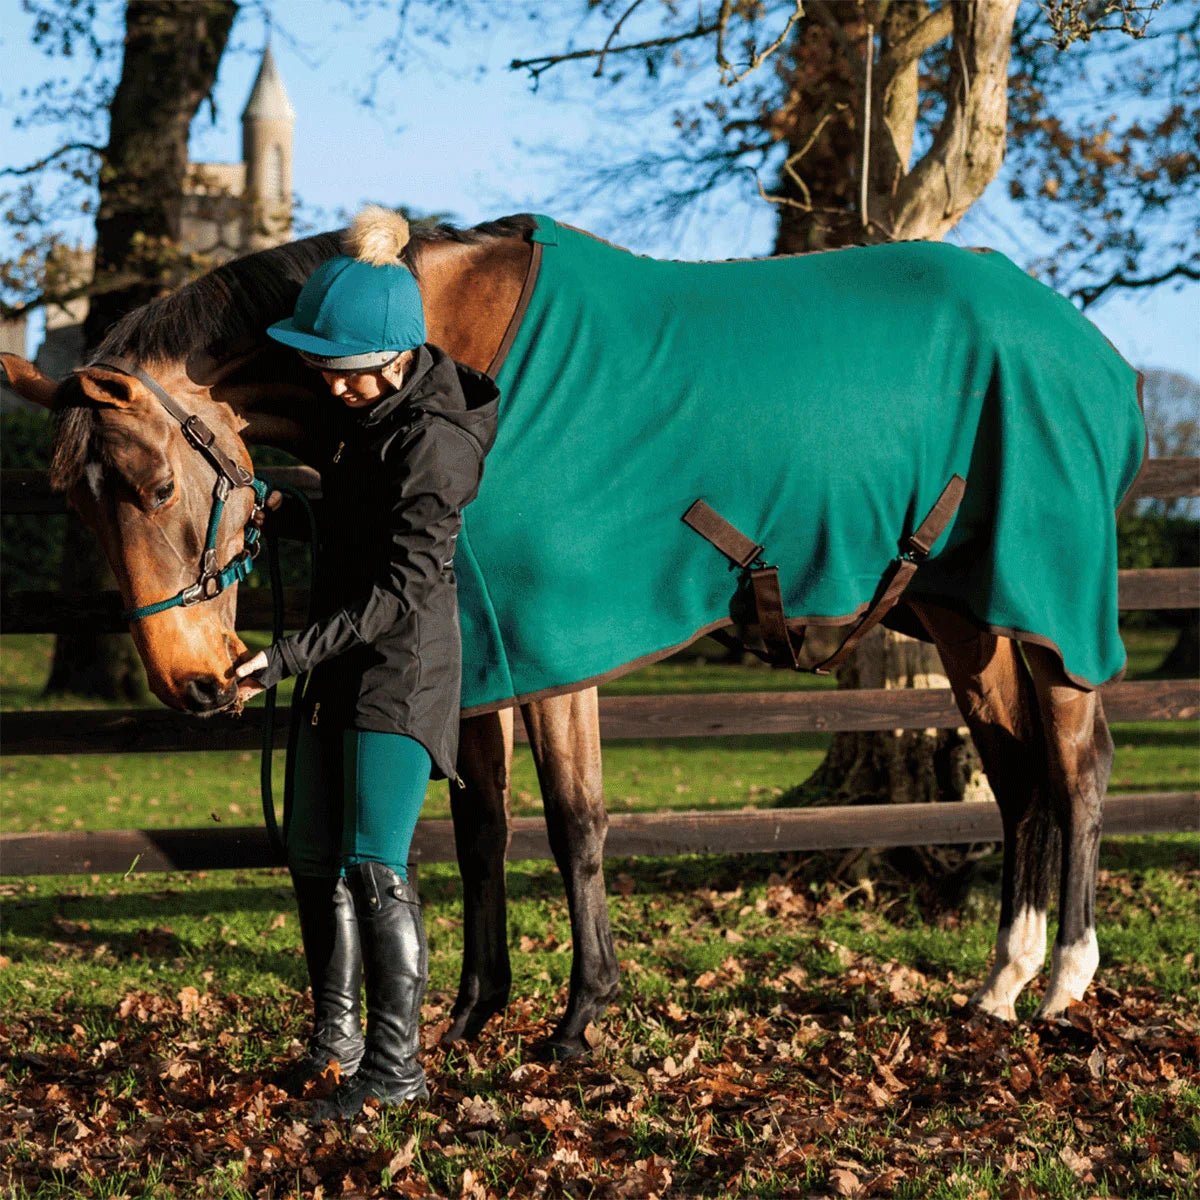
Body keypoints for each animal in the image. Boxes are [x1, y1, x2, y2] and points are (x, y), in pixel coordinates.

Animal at [1, 212, 1143, 1055]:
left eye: (154, 488)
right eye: (79, 510)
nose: (196, 684)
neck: (452, 366)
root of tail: (1096, 356)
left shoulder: (556, 657)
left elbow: (575, 825)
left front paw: (580, 1017)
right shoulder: (480, 652)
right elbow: (480, 830)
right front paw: (473, 1012)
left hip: (1053, 612)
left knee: (1079, 767)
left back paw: (1065, 982)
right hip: (967, 616)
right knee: (1016, 779)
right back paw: (1000, 982)